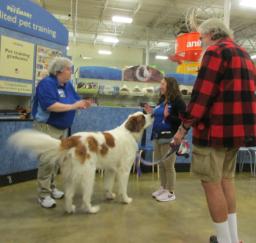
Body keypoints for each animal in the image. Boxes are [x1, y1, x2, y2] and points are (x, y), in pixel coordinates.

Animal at [8, 111, 153, 214]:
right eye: (143, 116)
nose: (152, 114)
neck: (129, 132)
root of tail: (72, 139)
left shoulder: (110, 169)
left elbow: (108, 185)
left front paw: (109, 195)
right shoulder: (124, 170)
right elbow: (123, 188)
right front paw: (126, 200)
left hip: (71, 174)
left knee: (68, 195)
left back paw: (69, 209)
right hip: (88, 174)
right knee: (85, 197)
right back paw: (91, 209)